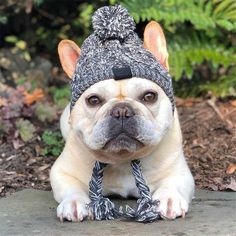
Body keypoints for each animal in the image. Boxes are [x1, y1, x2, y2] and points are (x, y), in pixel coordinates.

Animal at [49, 20, 194, 221]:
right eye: (93, 100)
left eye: (150, 96)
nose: (122, 111)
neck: (123, 160)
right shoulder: (62, 172)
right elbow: (71, 188)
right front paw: (74, 202)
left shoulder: (179, 172)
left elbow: (172, 183)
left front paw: (169, 198)